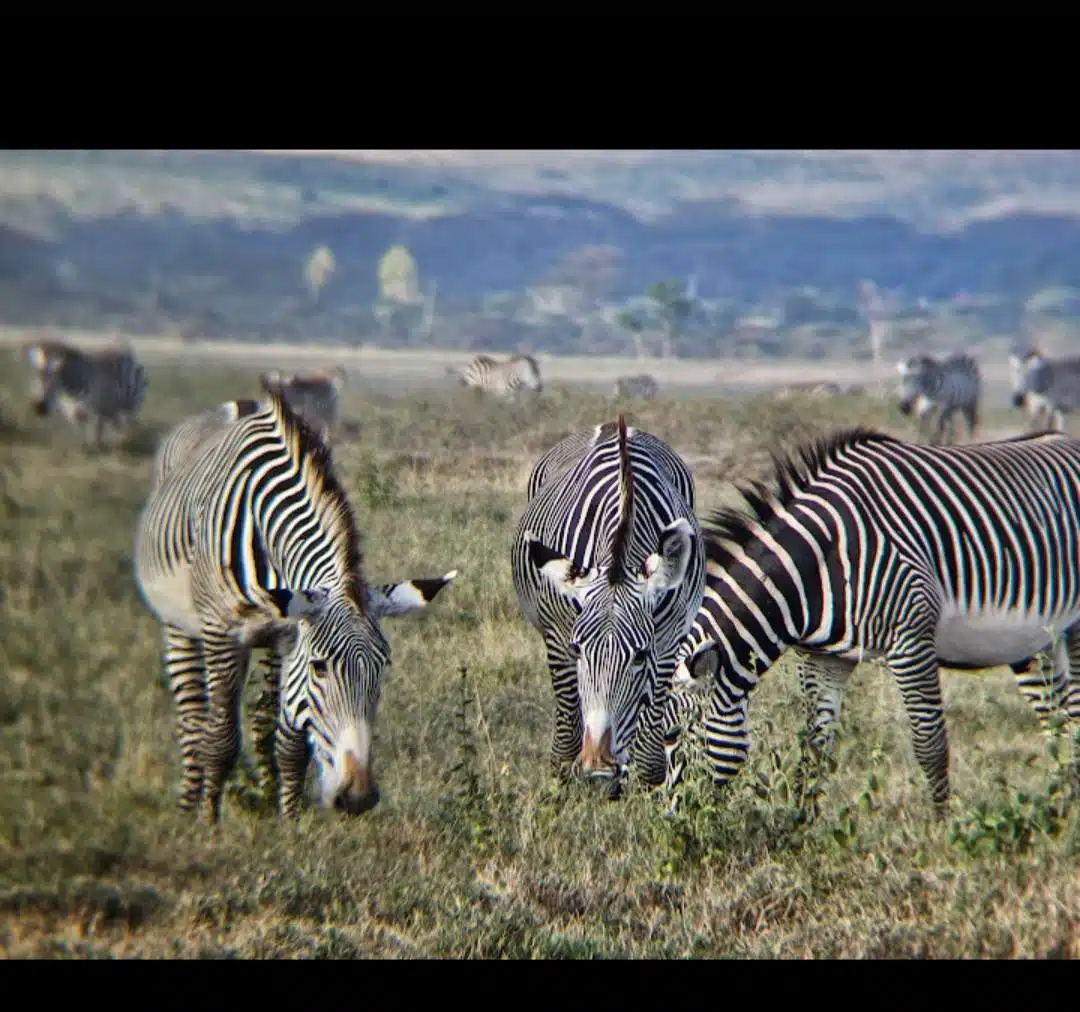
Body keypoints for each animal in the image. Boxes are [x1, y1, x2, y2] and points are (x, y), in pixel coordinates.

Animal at [134, 377, 459, 822]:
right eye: (320, 668)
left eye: (383, 667)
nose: (358, 798)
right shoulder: (223, 633)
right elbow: (221, 737)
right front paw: (208, 824)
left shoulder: (290, 633)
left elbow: (289, 741)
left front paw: (289, 821)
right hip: (179, 623)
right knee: (193, 717)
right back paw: (188, 804)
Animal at [511, 414, 705, 793]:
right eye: (578, 649)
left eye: (640, 655)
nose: (598, 771)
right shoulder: (559, 637)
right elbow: (567, 737)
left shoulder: (667, 640)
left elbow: (649, 755)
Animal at [663, 426, 1080, 814]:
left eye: (673, 734)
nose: (674, 827)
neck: (820, 561)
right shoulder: (825, 658)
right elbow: (815, 748)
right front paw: (800, 823)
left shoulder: (910, 640)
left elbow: (930, 744)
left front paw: (940, 826)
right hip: (1033, 642)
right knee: (1057, 721)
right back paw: (1061, 805)